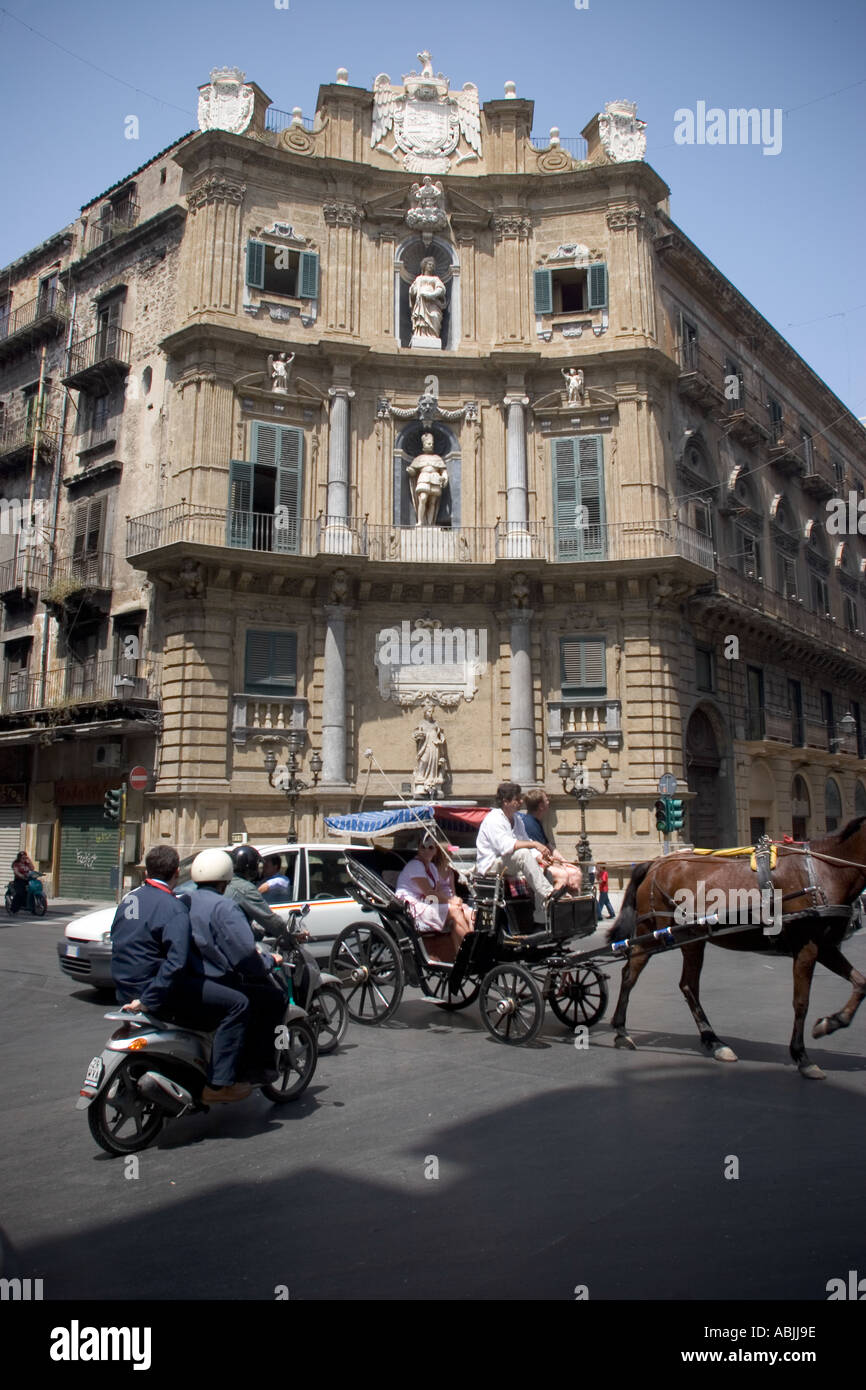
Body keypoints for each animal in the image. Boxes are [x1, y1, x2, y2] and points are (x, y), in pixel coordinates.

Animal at [608, 817, 866, 1078]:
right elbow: (801, 1002)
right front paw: (802, 1056)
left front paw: (832, 1023)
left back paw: (713, 1042)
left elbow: (861, 983)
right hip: (651, 934)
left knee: (687, 985)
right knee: (630, 975)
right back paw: (621, 1032)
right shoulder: (807, 946)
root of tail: (654, 864)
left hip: (691, 939)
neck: (824, 870)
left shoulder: (825, 947)